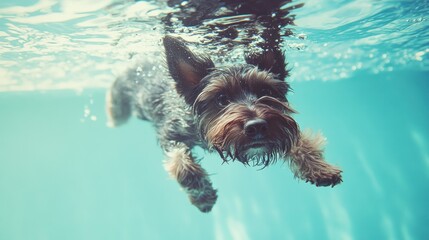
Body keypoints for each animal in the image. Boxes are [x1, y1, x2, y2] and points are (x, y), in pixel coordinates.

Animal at [105, 35, 342, 212]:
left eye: (265, 91)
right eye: (221, 99)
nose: (257, 126)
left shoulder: (282, 126)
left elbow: (297, 140)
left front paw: (320, 167)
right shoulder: (170, 133)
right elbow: (182, 163)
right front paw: (203, 195)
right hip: (120, 96)